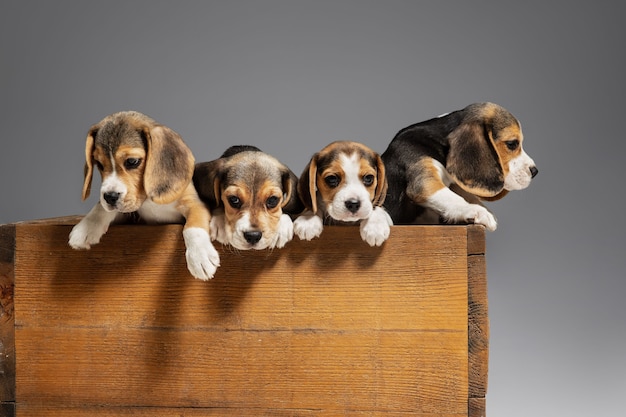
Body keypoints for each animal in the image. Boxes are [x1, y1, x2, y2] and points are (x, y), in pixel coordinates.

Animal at [67, 110, 219, 280]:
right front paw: (87, 227)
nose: (110, 197)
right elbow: (101, 209)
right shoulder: (131, 214)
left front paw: (199, 256)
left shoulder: (194, 203)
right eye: (99, 164)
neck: (149, 200)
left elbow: (192, 226)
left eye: (132, 161)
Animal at [380, 102, 536, 229]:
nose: (535, 171)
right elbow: (452, 197)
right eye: (512, 144)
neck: (438, 143)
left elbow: (464, 194)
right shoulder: (422, 179)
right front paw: (477, 211)